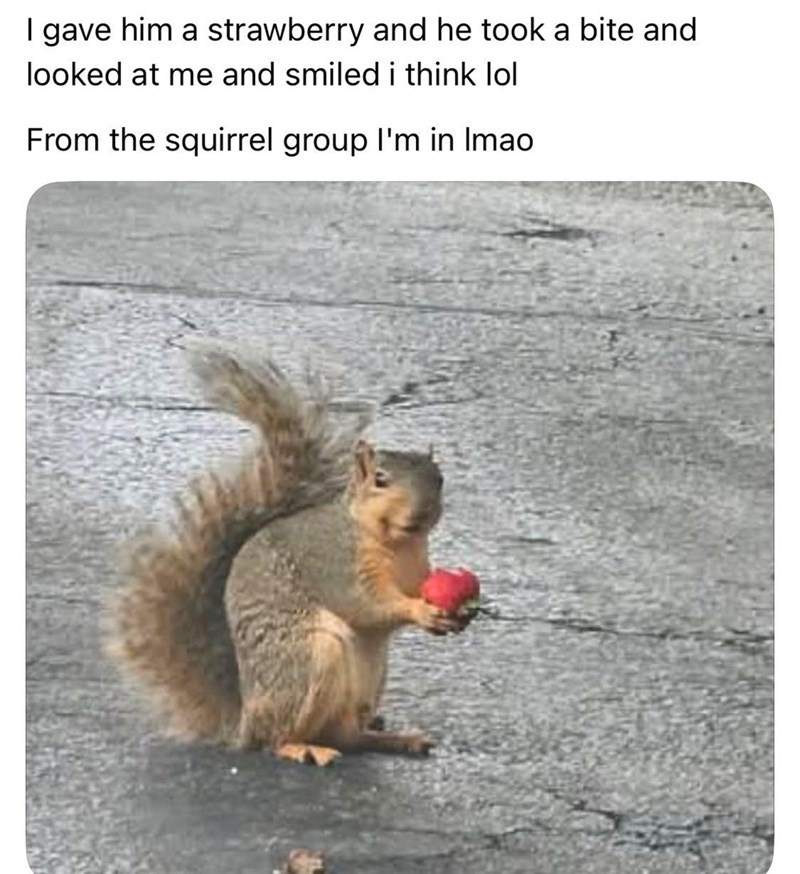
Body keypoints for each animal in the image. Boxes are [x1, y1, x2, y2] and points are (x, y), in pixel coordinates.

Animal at [106, 340, 463, 766]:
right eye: (380, 480)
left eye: (439, 478)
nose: (422, 511)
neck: (395, 542)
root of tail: (244, 719)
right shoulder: (332, 559)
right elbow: (365, 602)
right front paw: (420, 610)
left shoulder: (417, 566)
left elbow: (420, 586)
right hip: (310, 661)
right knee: (277, 737)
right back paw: (302, 747)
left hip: (370, 678)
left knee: (349, 735)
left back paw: (395, 738)